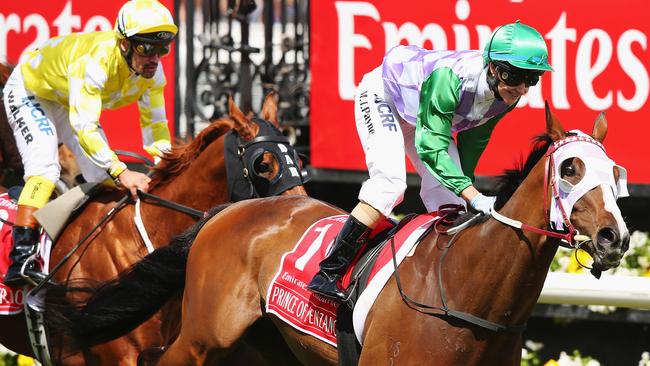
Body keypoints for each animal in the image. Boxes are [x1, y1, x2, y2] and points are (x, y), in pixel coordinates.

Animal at [46, 104, 628, 364]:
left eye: (615, 170)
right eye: (570, 168)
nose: (614, 239)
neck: (465, 291)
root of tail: (226, 212)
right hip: (202, 336)